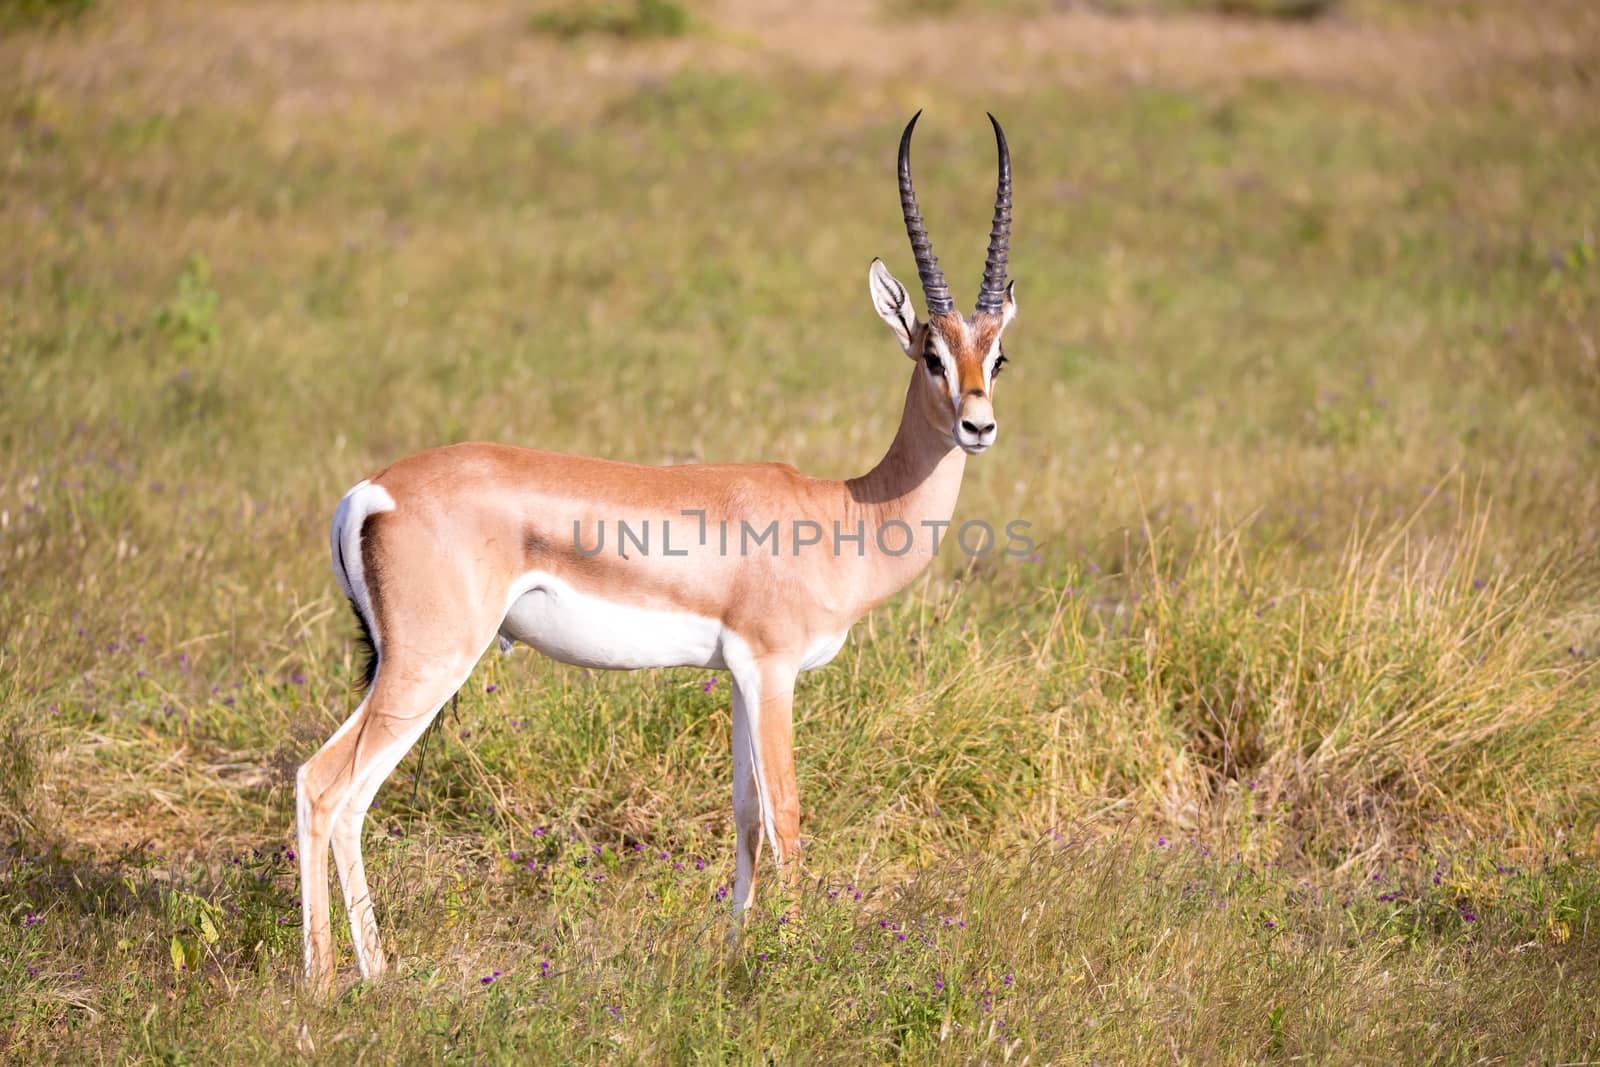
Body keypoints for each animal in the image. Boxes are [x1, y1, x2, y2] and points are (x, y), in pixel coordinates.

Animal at [299, 112, 1017, 991]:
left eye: (997, 355)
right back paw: (336, 982)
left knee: (338, 790)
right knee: (329, 785)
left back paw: (366, 972)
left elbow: (745, 815)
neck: (842, 511)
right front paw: (795, 961)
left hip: (402, 665)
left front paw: (737, 953)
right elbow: (788, 813)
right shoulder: (772, 668)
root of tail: (374, 490)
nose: (978, 426)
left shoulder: (739, 675)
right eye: (930, 353)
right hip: (430, 663)